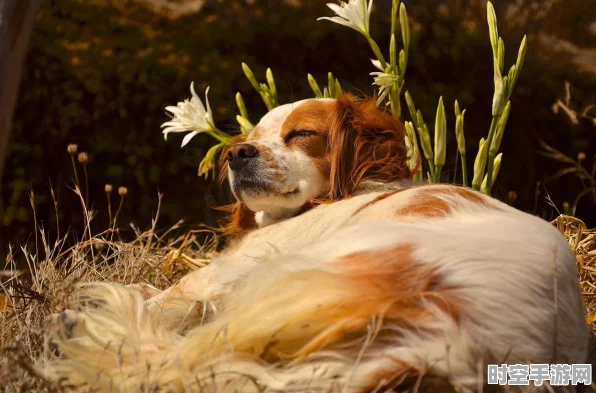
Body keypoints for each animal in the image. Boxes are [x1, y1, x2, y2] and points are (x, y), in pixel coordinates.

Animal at [45, 94, 588, 388]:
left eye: (302, 133)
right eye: (250, 135)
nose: (236, 153)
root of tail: (469, 338)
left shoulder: (227, 273)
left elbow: (169, 299)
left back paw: (78, 326)